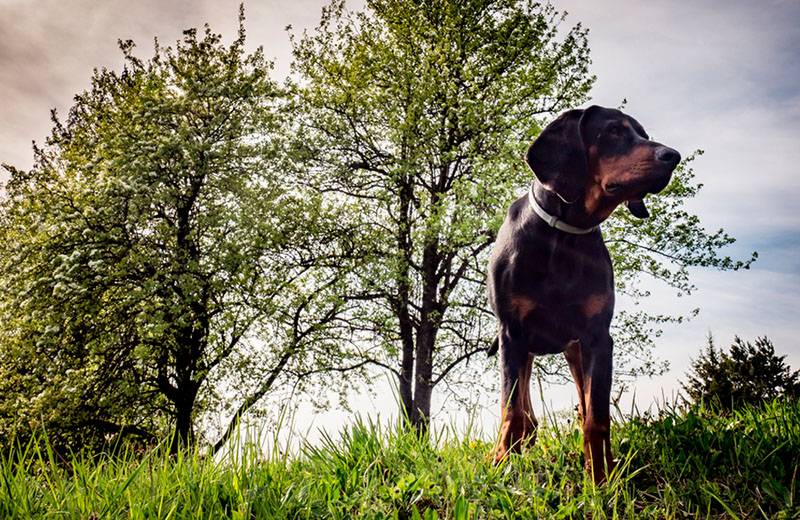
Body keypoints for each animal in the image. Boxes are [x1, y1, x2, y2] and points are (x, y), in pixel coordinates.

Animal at [488, 105, 680, 484]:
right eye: (614, 131)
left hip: (574, 350)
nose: (673, 156)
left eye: (643, 134)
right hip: (523, 348)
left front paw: (601, 479)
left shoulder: (597, 338)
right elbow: (511, 411)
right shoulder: (511, 333)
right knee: (524, 412)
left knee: (580, 403)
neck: (564, 236)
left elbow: (596, 417)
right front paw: (501, 467)